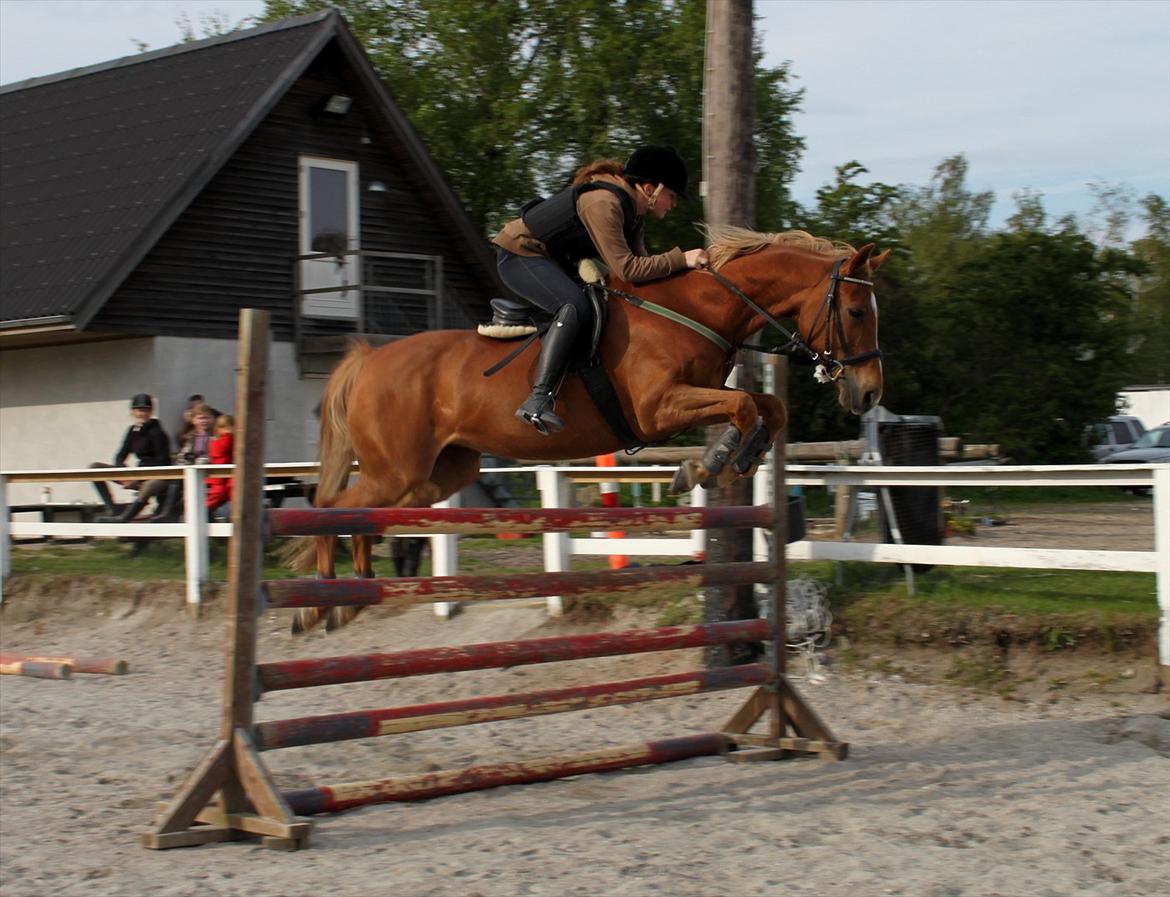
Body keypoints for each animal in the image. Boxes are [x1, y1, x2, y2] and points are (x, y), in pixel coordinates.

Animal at [285, 228, 884, 636]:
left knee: (362, 512)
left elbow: (767, 407)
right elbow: (741, 405)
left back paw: (352, 596)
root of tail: (368, 360)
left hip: (438, 473)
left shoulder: (696, 396)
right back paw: (321, 604)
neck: (693, 308)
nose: (869, 394)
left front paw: (731, 459)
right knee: (331, 506)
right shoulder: (659, 409)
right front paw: (707, 466)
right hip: (397, 469)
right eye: (857, 311)